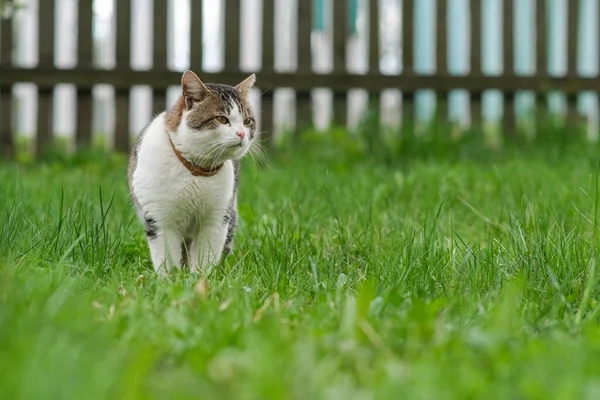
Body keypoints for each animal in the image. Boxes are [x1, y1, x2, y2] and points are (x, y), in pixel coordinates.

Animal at [127, 69, 256, 276]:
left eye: (247, 121)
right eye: (222, 119)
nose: (242, 134)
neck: (196, 169)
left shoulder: (217, 218)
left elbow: (206, 258)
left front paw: (201, 279)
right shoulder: (159, 218)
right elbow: (166, 259)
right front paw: (171, 279)